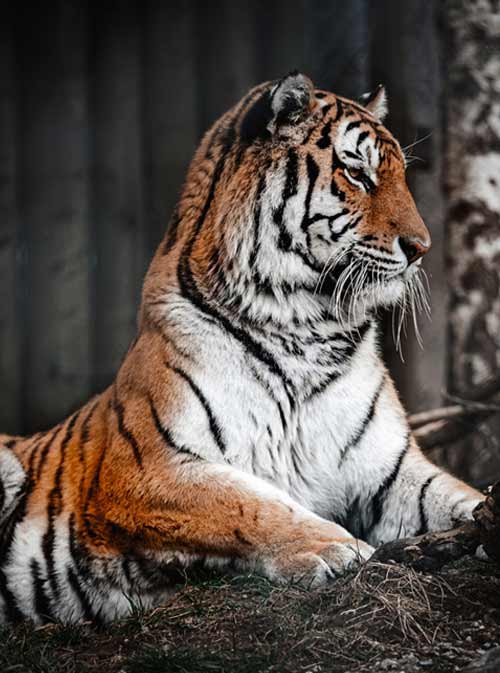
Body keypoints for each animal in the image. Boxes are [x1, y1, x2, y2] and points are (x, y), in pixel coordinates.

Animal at [0, 72, 482, 625]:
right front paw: (334, 548)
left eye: (401, 174)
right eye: (356, 172)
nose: (421, 248)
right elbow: (249, 504)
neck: (309, 327)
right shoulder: (144, 468)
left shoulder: (390, 470)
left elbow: (456, 494)